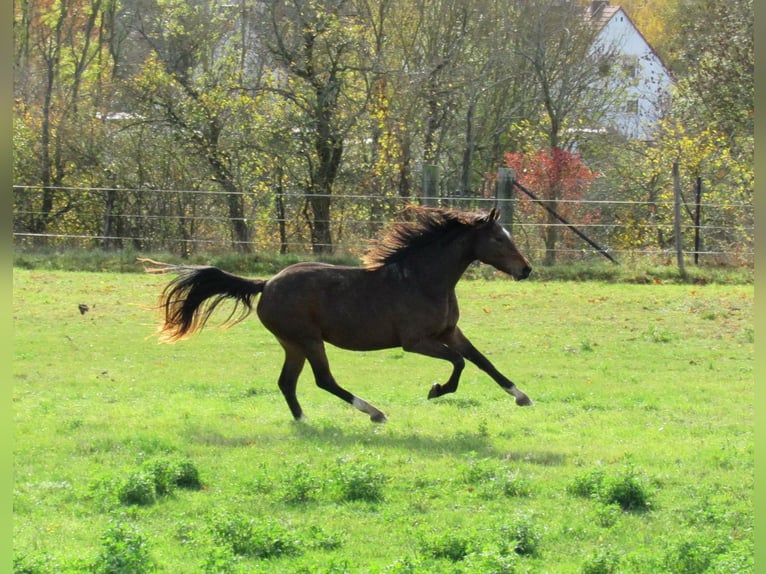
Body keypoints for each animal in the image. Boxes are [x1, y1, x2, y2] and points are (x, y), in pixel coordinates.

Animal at [144, 206, 533, 423]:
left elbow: (482, 361)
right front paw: (437, 390)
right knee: (323, 380)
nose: (526, 269)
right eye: (499, 239)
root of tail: (266, 283)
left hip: (293, 344)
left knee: (287, 382)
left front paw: (521, 396)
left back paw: (303, 420)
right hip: (308, 340)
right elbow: (459, 363)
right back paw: (375, 413)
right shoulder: (416, 342)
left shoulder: (450, 332)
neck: (424, 280)